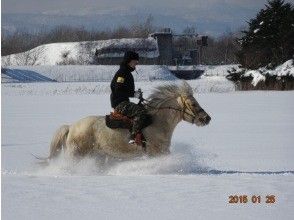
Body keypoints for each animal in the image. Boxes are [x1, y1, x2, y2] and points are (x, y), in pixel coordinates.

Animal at [46, 81, 211, 160]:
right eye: (193, 104)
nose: (207, 118)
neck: (158, 123)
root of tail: (71, 127)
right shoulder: (157, 153)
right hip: (76, 154)